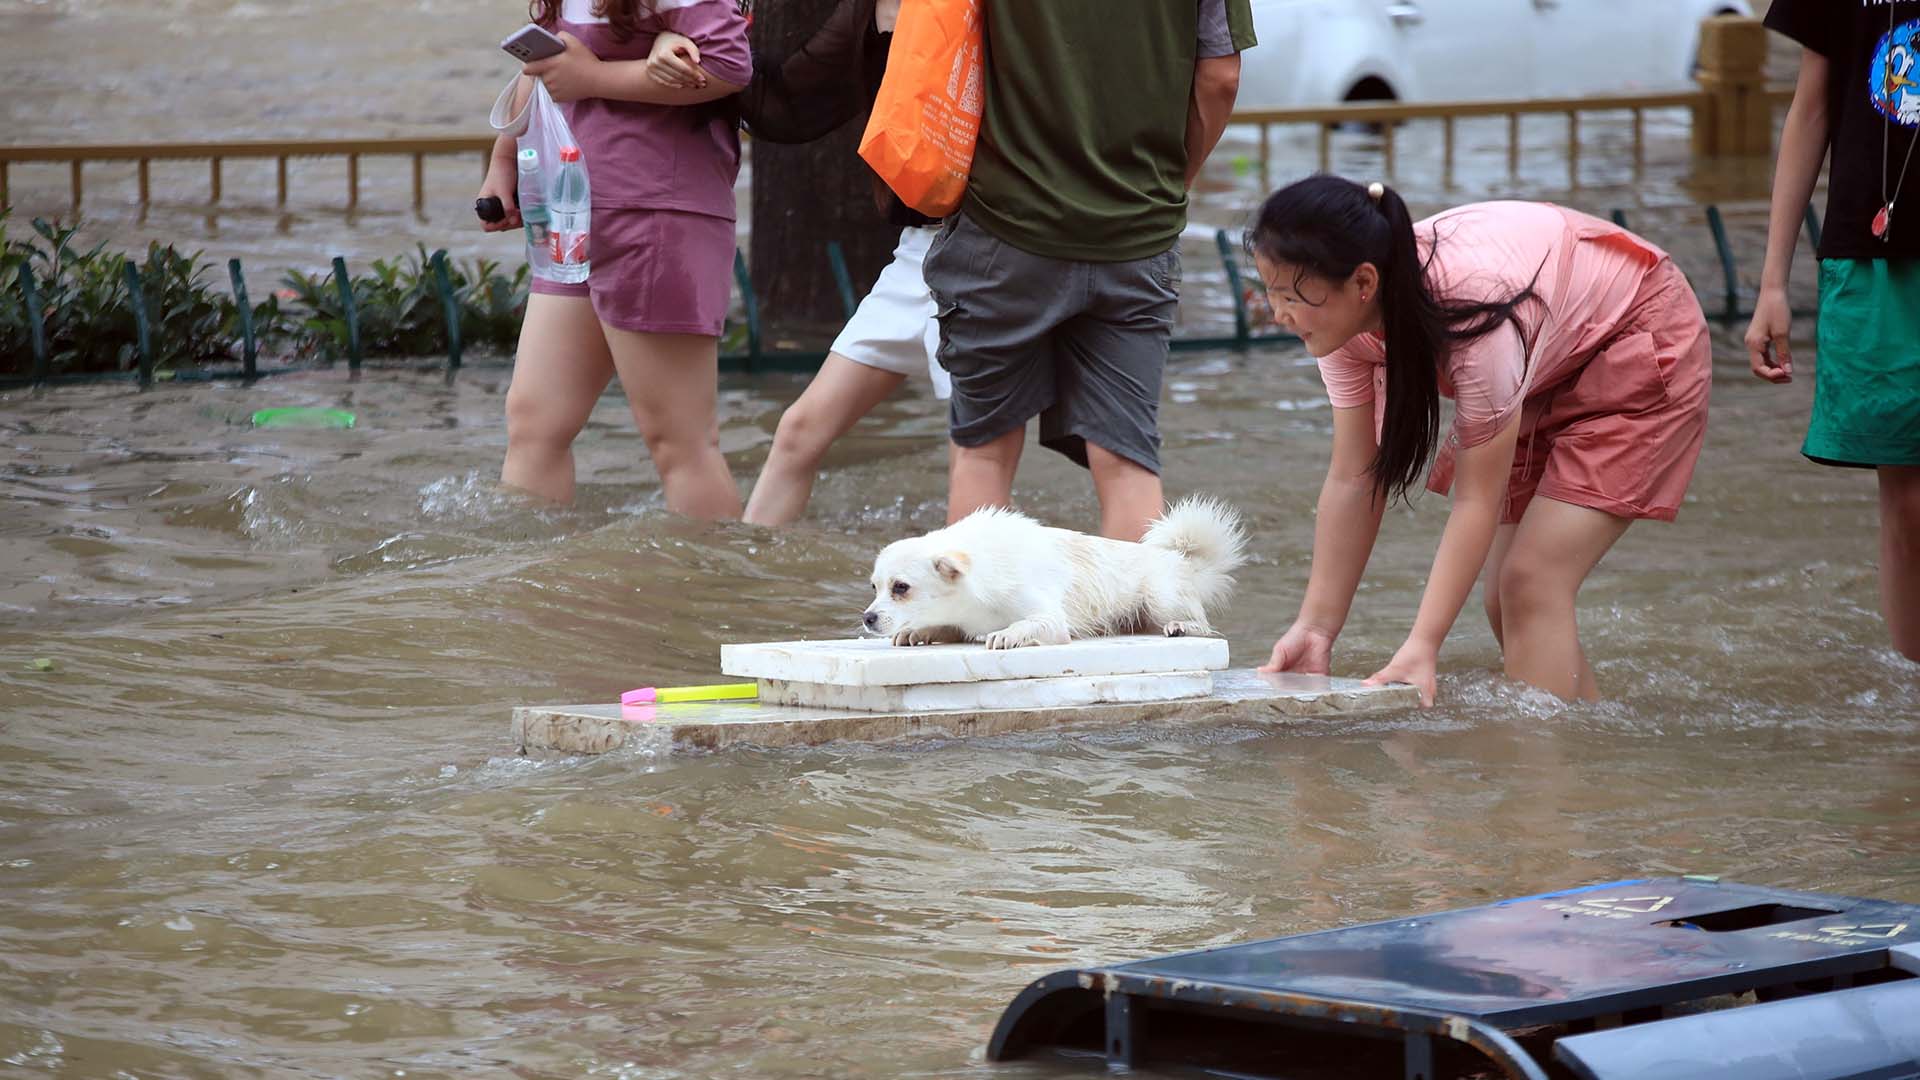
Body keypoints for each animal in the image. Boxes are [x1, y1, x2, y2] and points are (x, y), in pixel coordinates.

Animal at [864, 495, 1251, 645]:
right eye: (874, 588)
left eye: (901, 587)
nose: (867, 618)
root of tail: (1178, 559)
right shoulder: (962, 620)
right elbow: (945, 626)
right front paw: (919, 631)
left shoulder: (1051, 620)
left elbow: (1026, 624)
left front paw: (1008, 634)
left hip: (1160, 597)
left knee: (1205, 626)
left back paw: (1181, 626)